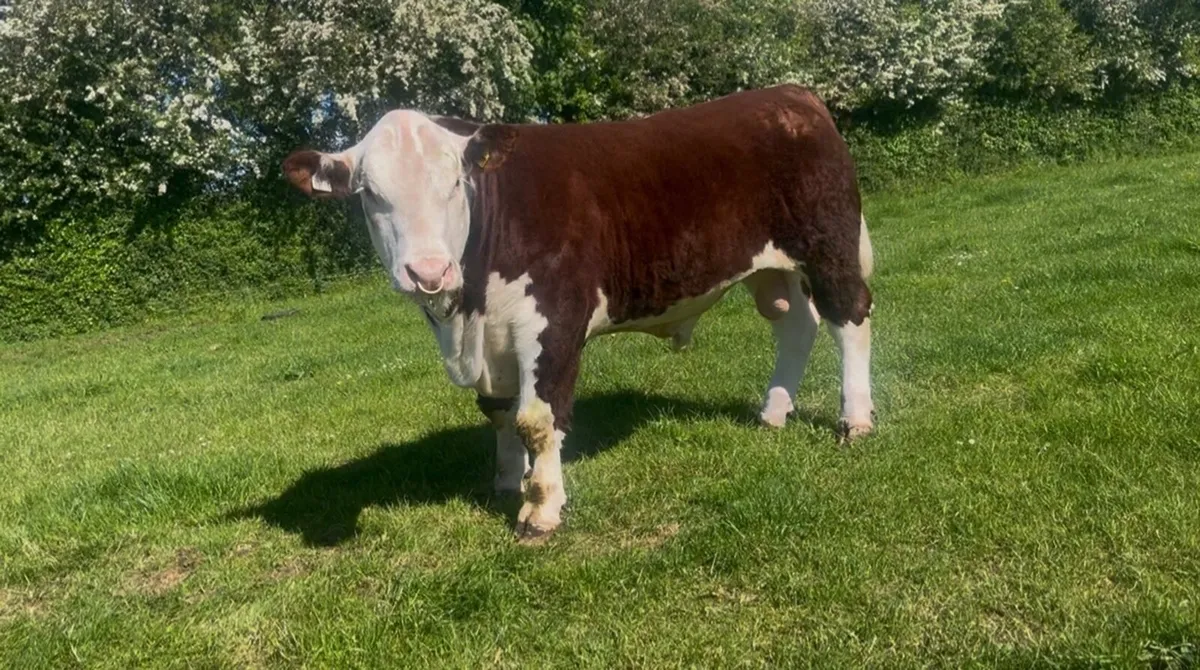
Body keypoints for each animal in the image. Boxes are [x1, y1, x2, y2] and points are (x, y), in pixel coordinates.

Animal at [282, 85, 875, 543]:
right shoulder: (494, 339)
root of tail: (791, 96)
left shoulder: (554, 320)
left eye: (454, 183)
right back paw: (773, 412)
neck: (467, 317)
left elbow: (536, 420)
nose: (428, 270)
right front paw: (506, 481)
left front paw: (540, 510)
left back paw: (856, 421)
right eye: (371, 195)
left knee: (850, 317)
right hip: (770, 267)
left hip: (829, 242)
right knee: (797, 326)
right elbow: (500, 414)